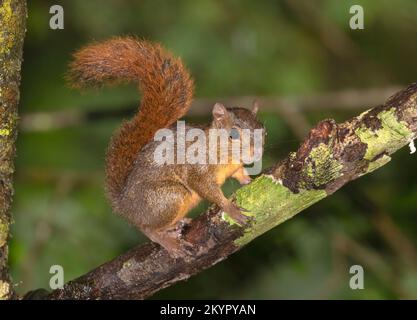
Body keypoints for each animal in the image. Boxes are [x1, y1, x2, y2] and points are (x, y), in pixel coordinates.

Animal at [68, 37, 264, 258]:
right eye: (233, 135)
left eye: (264, 132)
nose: (256, 153)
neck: (221, 151)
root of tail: (124, 206)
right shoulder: (197, 168)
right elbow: (206, 188)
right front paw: (230, 208)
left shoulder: (234, 166)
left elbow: (239, 173)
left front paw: (249, 179)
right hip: (169, 197)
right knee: (146, 228)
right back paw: (166, 239)